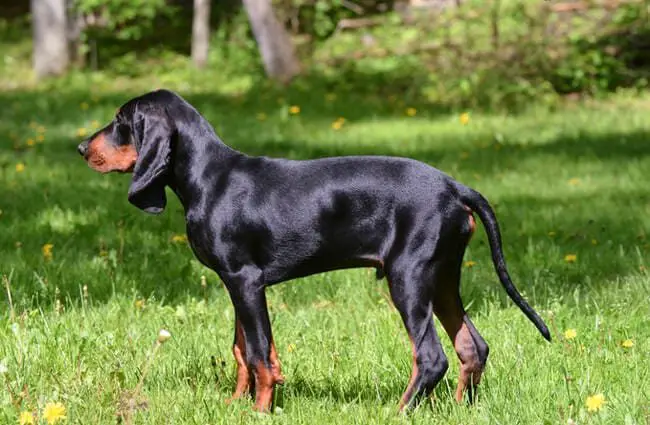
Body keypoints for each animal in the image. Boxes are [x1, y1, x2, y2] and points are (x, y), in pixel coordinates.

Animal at [78, 88, 548, 410]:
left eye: (121, 120)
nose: (82, 148)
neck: (210, 178)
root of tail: (455, 186)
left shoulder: (246, 280)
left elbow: (259, 353)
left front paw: (260, 411)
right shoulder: (235, 283)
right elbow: (243, 350)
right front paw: (236, 406)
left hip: (409, 278)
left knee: (431, 357)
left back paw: (398, 412)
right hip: (444, 277)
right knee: (473, 347)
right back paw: (456, 408)